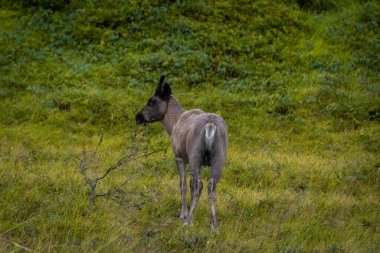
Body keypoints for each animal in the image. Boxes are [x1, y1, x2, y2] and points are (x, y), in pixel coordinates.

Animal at [136, 75, 227, 231]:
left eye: (152, 101)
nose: (138, 117)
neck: (172, 123)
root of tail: (211, 127)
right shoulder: (193, 161)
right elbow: (189, 184)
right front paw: (190, 211)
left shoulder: (180, 157)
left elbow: (183, 185)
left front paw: (184, 214)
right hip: (218, 158)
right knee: (211, 185)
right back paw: (214, 226)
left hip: (196, 156)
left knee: (199, 185)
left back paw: (189, 221)